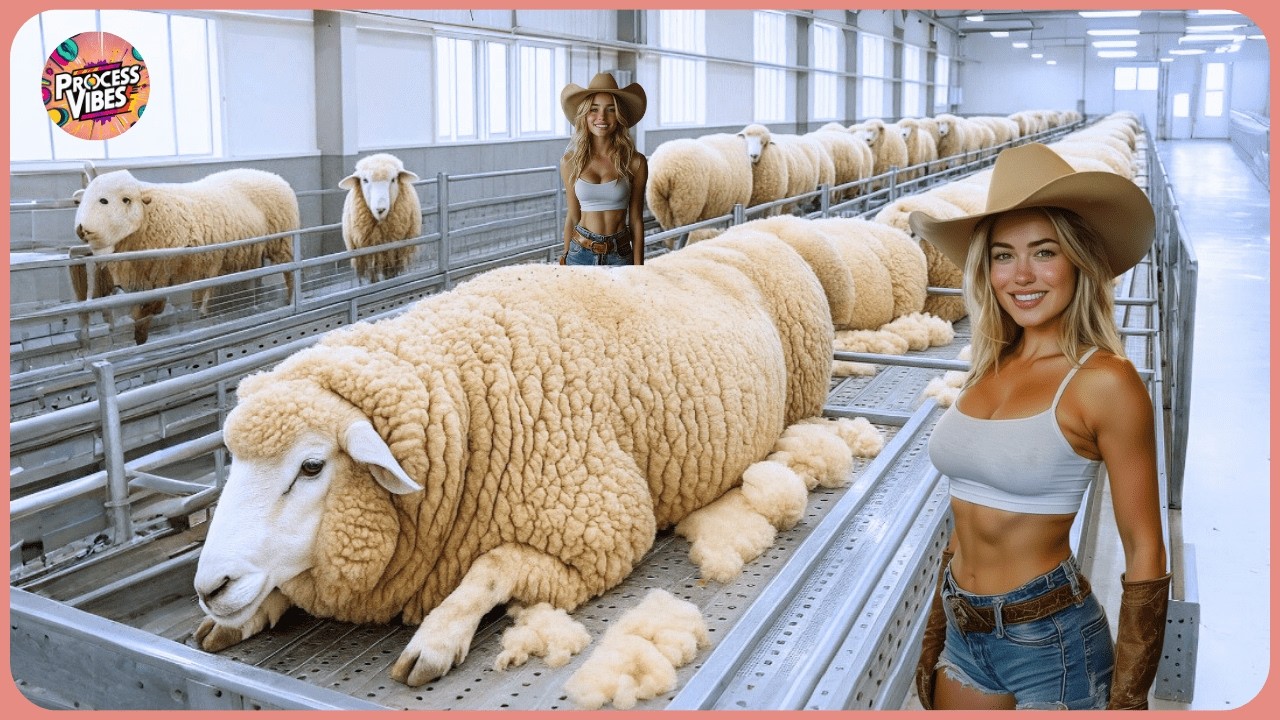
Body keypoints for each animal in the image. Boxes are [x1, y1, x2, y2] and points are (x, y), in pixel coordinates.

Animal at [72, 168, 298, 344]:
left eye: (125, 200)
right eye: (82, 201)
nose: (82, 229)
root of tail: (275, 177)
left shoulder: (163, 273)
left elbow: (151, 308)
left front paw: (141, 336)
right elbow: (142, 313)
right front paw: (140, 336)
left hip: (282, 242)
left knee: (290, 274)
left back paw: (291, 299)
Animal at [192, 229, 841, 689]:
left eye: (311, 467)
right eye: (235, 459)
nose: (209, 586)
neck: (465, 406)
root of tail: (758, 238)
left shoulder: (599, 532)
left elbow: (492, 566)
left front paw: (437, 639)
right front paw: (244, 616)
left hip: (802, 400)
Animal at [340, 153, 423, 284]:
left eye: (393, 179)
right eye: (365, 180)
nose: (380, 209)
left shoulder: (393, 253)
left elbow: (390, 275)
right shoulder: (368, 254)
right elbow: (373, 279)